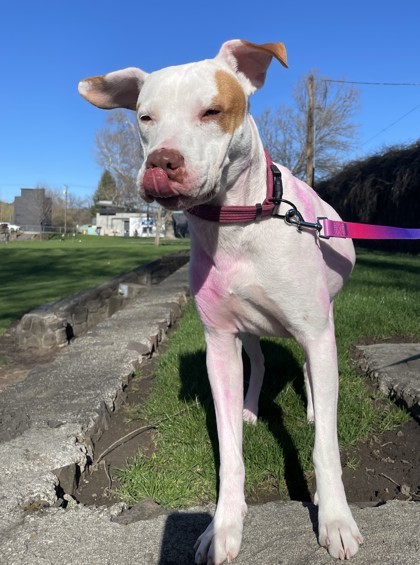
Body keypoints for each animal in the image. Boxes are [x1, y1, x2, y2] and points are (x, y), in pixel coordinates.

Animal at [80, 38, 362, 560]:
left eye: (212, 110)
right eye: (145, 117)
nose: (161, 161)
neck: (238, 222)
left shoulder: (316, 330)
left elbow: (325, 447)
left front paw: (335, 518)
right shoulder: (219, 343)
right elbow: (229, 450)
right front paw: (224, 525)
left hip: (322, 322)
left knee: (312, 370)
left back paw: (316, 406)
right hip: (247, 331)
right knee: (260, 362)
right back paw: (251, 409)